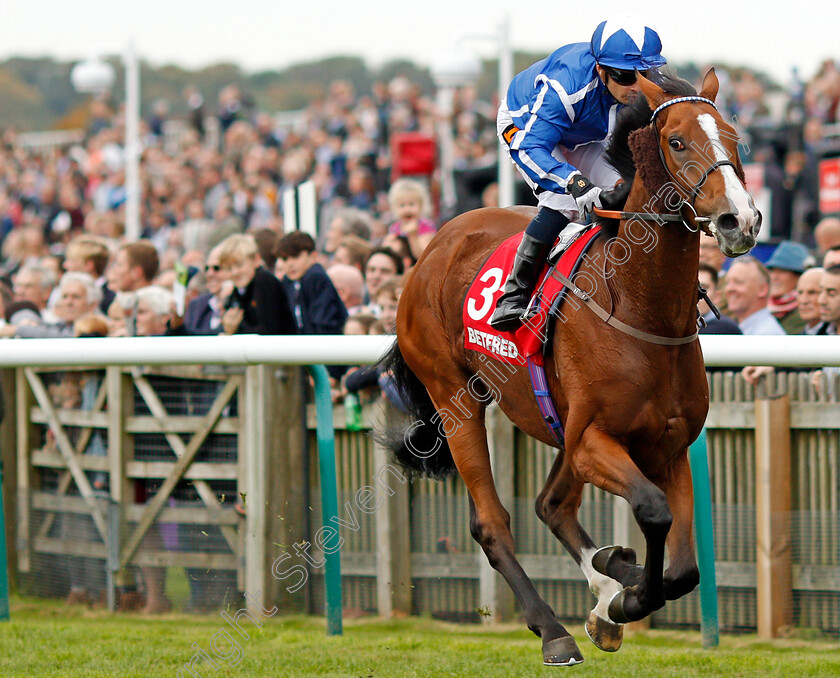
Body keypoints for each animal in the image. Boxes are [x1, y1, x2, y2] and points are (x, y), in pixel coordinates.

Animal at [380, 70, 760, 668]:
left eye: (734, 137)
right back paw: (554, 628)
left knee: (552, 505)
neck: (639, 306)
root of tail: (432, 247)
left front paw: (620, 589)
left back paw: (606, 582)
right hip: (454, 398)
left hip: (558, 421)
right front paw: (629, 600)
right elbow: (652, 511)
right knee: (493, 523)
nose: (738, 220)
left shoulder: (667, 446)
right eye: (677, 142)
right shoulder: (593, 441)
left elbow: (683, 571)